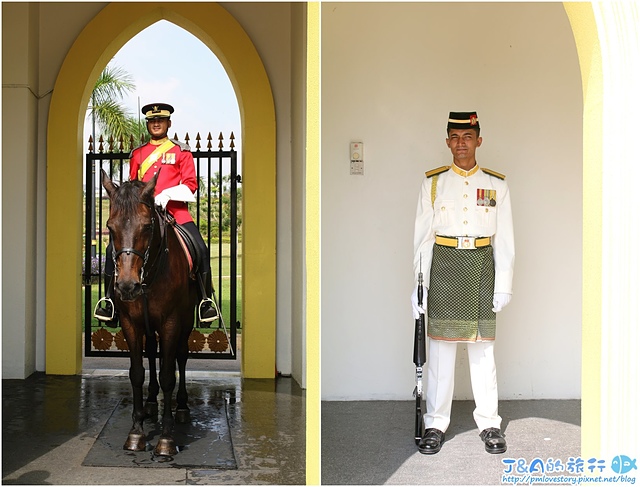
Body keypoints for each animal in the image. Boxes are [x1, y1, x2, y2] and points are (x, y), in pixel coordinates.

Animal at [101, 169, 196, 458]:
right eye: (110, 227)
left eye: (146, 226)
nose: (126, 286)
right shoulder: (131, 323)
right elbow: (137, 373)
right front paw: (136, 432)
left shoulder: (171, 322)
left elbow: (168, 375)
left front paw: (165, 438)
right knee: (153, 354)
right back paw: (151, 402)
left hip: (185, 322)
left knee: (180, 356)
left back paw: (182, 407)